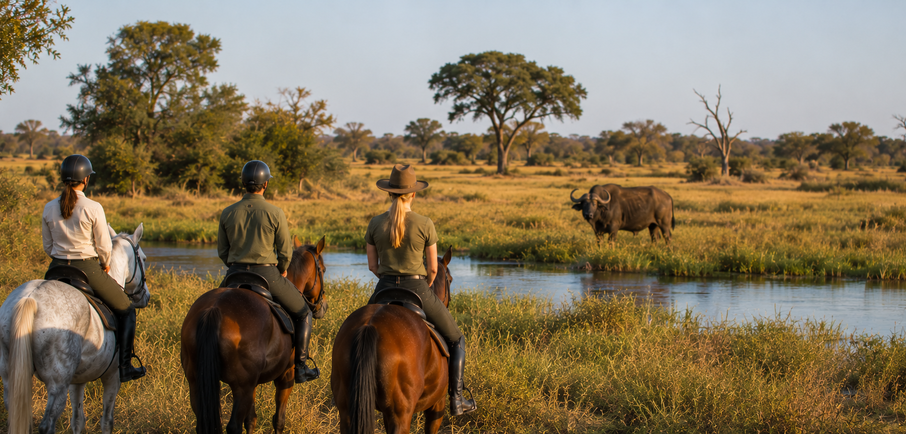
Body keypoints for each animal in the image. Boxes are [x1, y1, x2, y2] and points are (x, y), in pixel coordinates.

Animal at [0, 223, 151, 434]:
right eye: (143, 259)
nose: (146, 296)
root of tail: (31, 298)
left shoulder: (77, 381)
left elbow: (78, 420)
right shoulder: (112, 378)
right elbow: (107, 421)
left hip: (11, 376)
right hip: (57, 383)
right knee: (47, 425)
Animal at [180, 236, 328, 434]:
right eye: (324, 270)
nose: (323, 306)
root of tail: (214, 309)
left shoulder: (253, 384)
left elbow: (251, 420)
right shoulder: (285, 377)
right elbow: (278, 420)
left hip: (197, 381)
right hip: (241, 386)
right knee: (233, 426)